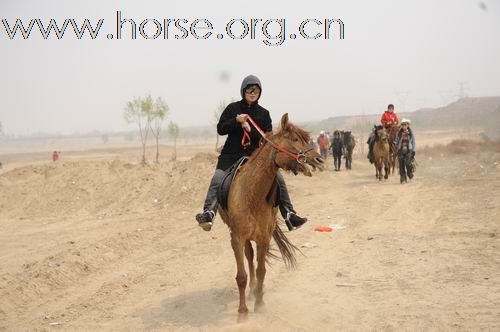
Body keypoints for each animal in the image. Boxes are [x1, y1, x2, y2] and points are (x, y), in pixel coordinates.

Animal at [219, 114, 324, 320]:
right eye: (295, 139)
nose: (319, 159)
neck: (252, 195)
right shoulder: (236, 238)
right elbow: (241, 276)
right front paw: (242, 312)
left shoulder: (264, 237)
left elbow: (261, 271)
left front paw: (260, 304)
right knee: (248, 257)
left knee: (251, 258)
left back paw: (254, 292)